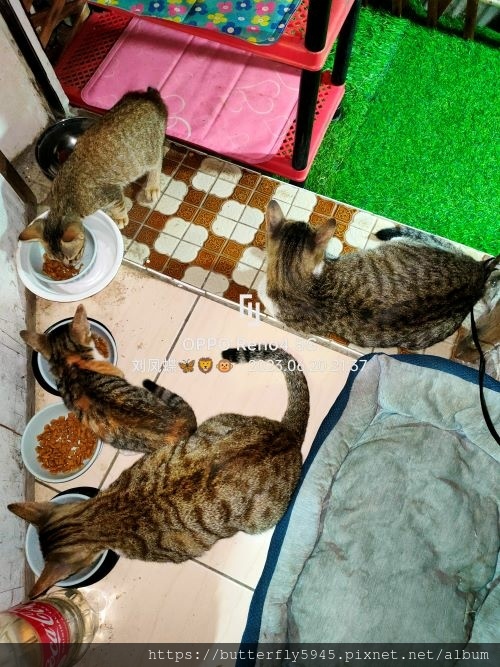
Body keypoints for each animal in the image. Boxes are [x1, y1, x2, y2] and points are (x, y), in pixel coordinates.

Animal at [18, 88, 167, 267]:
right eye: (55, 259)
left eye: (72, 257)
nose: (70, 266)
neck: (65, 199)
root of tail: (149, 97)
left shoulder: (111, 193)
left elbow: (119, 206)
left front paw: (120, 217)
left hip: (147, 156)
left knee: (158, 160)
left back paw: (152, 185)